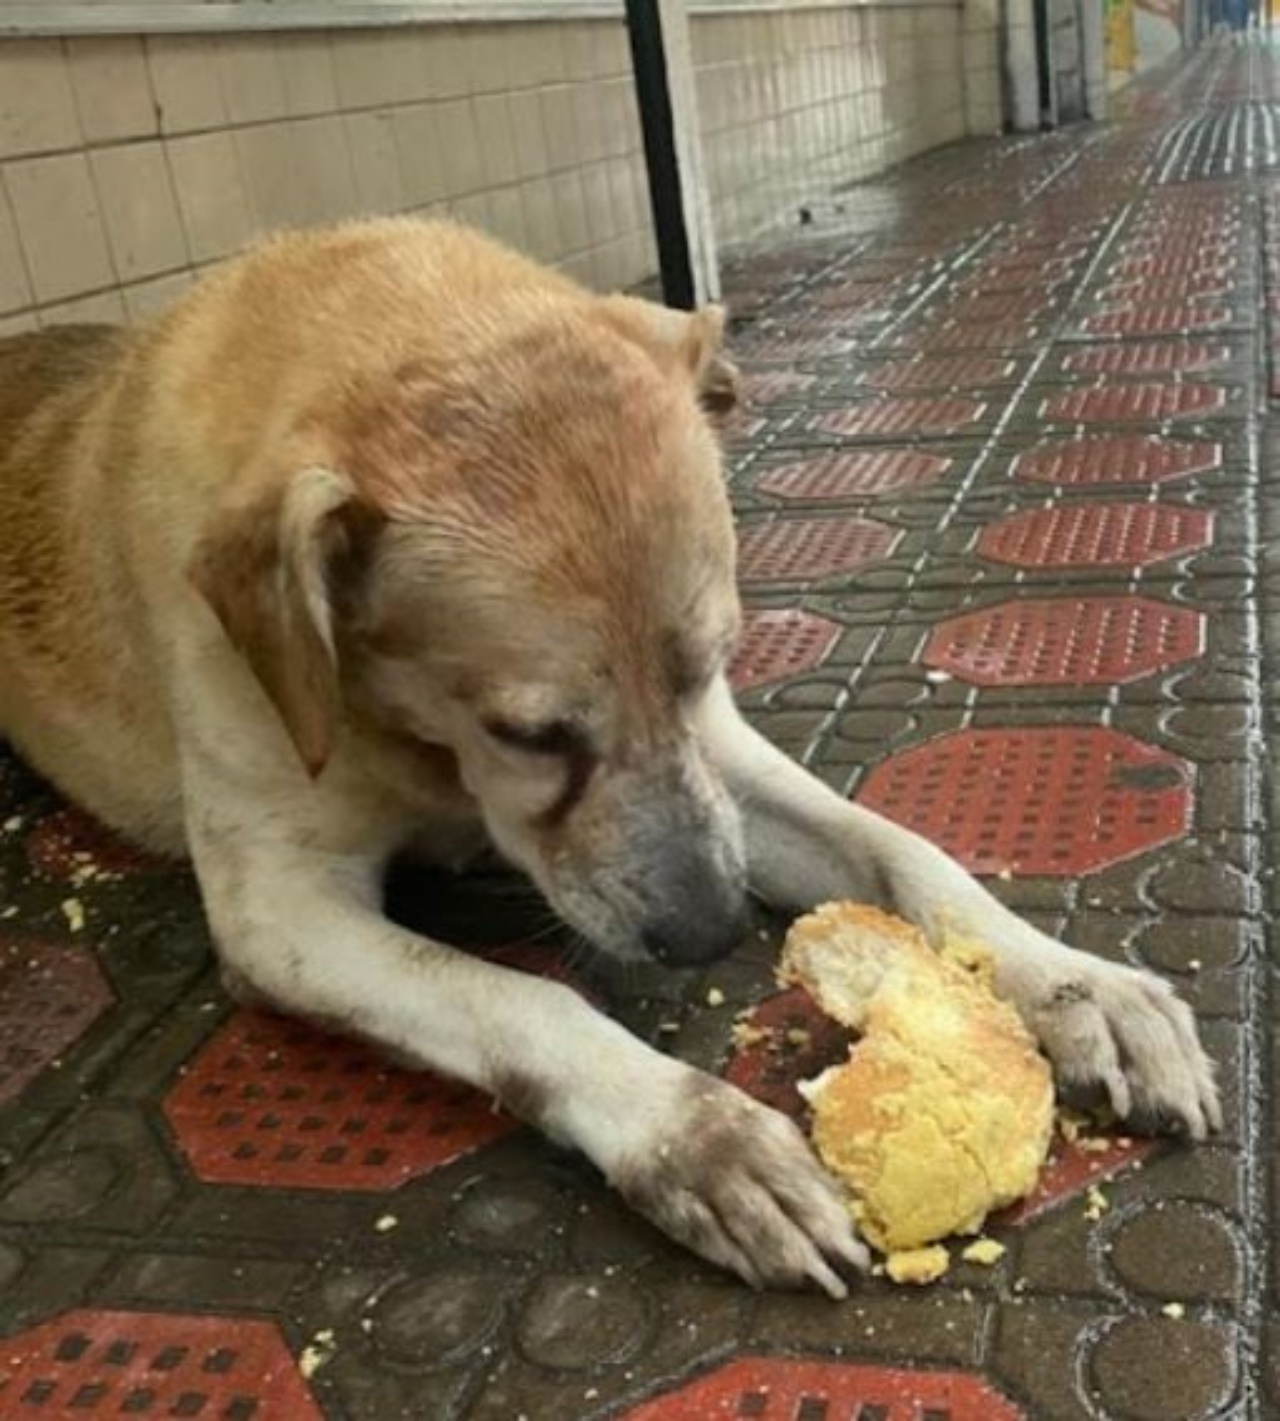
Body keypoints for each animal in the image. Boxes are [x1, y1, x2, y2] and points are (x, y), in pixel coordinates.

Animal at [0, 215, 1216, 1295]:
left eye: (710, 664)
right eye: (530, 732)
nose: (713, 929)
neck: (408, 735)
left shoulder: (716, 757)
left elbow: (907, 849)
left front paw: (1070, 981)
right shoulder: (276, 910)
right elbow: (521, 1002)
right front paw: (693, 1134)